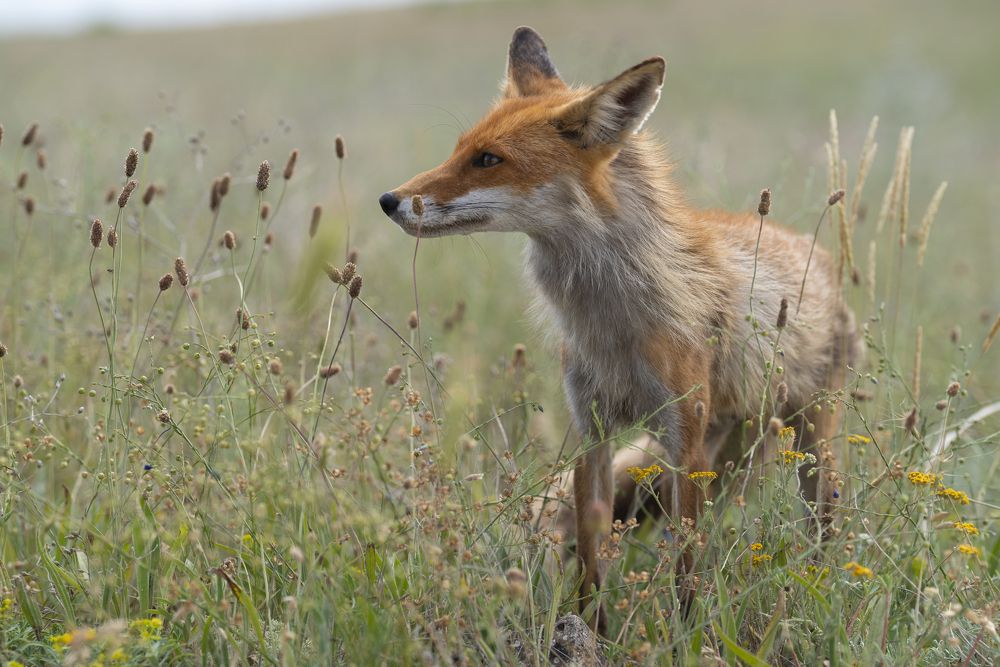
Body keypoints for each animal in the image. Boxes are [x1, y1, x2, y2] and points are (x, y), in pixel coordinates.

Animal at [378, 26, 860, 633]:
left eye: (488, 159)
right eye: (458, 150)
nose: (389, 200)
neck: (613, 320)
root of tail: (821, 258)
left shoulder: (684, 440)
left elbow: (686, 566)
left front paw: (685, 637)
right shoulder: (593, 431)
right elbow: (592, 552)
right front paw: (590, 632)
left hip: (809, 447)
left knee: (817, 528)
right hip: (723, 449)